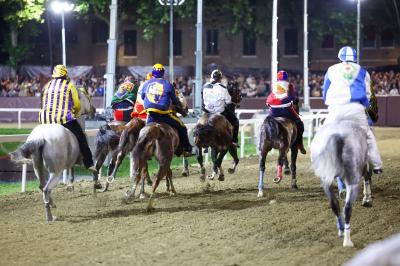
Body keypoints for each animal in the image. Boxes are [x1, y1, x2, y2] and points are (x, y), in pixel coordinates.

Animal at [9, 88, 97, 221]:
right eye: (87, 96)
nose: (94, 109)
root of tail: (40, 137)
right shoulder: (82, 159)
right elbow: (93, 167)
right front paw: (97, 185)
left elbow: (72, 171)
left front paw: (71, 185)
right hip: (56, 172)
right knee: (46, 189)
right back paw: (50, 216)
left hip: (38, 168)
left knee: (42, 186)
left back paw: (52, 204)